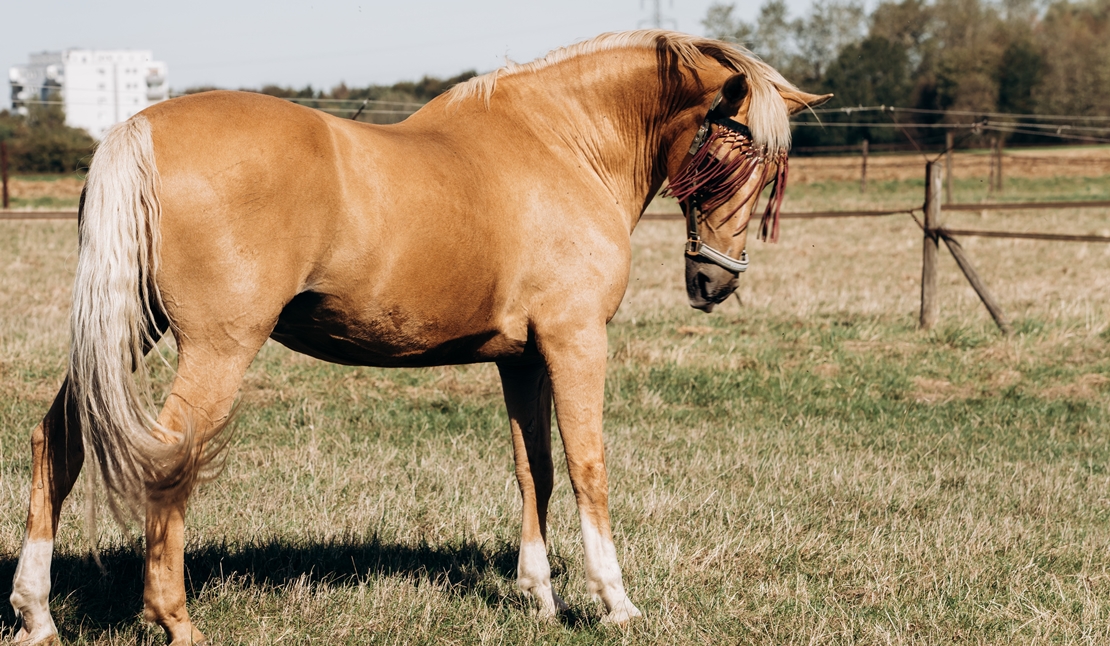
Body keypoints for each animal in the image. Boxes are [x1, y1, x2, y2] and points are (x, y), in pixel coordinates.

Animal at [6, 29, 825, 643]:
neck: (561, 143)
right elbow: (587, 466)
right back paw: (174, 619)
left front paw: (538, 596)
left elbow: (534, 470)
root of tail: (138, 128)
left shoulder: (522, 360)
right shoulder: (575, 342)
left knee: (59, 440)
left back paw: (37, 613)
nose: (715, 282)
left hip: (127, 330)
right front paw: (614, 602)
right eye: (731, 156)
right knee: (166, 457)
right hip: (216, 348)